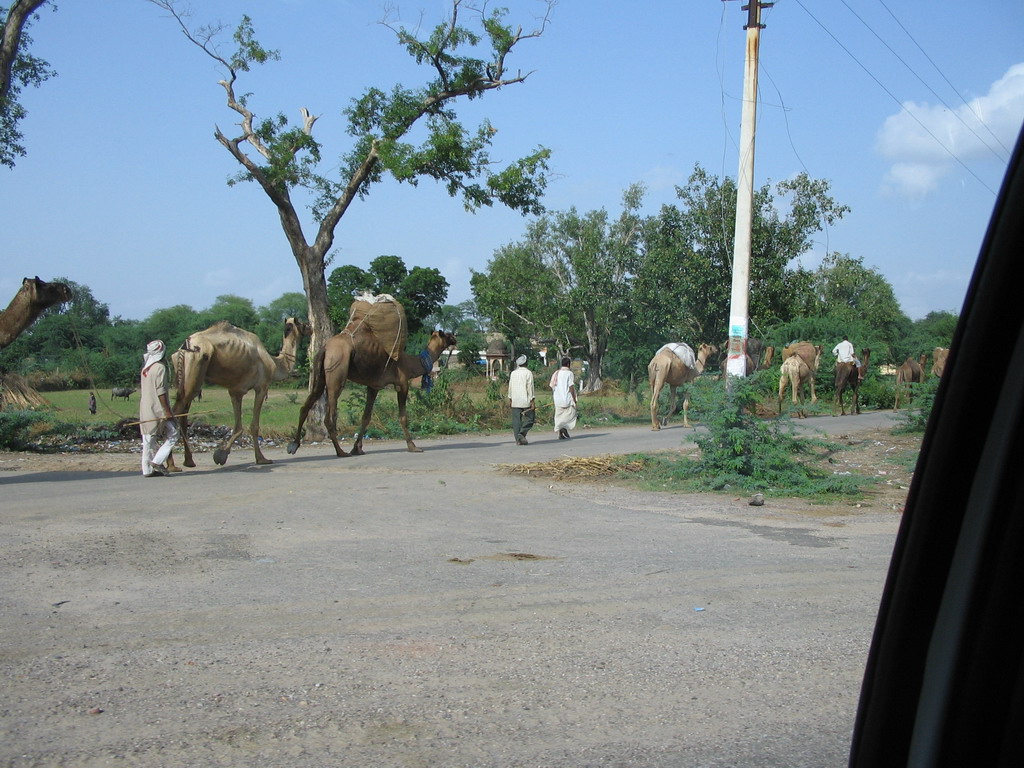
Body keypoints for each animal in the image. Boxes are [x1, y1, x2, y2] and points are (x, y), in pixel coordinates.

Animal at [167, 315, 309, 466]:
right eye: (303, 324)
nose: (311, 327)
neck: (275, 364)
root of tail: (184, 347)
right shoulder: (262, 387)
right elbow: (254, 426)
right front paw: (261, 459)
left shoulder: (236, 391)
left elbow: (238, 426)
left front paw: (221, 454)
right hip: (195, 367)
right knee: (174, 413)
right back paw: (170, 465)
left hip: (186, 378)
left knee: (182, 413)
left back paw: (188, 461)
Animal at [286, 329, 458, 460]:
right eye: (448, 334)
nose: (455, 338)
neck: (411, 363)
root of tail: (326, 348)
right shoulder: (402, 384)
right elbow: (403, 417)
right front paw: (413, 447)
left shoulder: (373, 387)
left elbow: (366, 417)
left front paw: (357, 448)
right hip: (336, 373)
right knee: (329, 416)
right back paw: (341, 452)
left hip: (319, 374)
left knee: (305, 406)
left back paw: (294, 445)